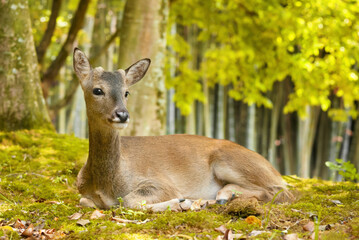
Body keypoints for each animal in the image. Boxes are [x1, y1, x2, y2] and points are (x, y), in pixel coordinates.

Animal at [74, 47, 296, 211]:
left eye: (126, 92)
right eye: (97, 90)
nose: (122, 115)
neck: (107, 184)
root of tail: (274, 169)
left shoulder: (161, 181)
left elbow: (128, 201)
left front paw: (180, 202)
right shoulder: (82, 192)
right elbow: (85, 201)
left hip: (231, 161)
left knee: (282, 191)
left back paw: (222, 195)